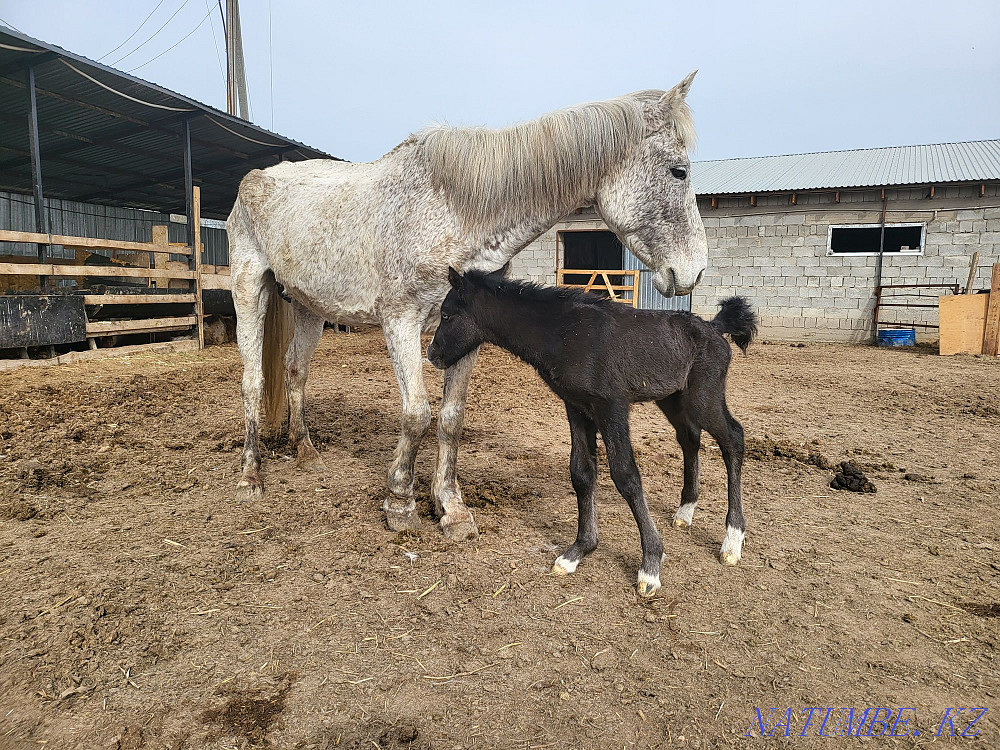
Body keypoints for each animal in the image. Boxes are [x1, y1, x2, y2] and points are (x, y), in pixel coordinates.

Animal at [227, 72, 708, 542]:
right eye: (679, 171)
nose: (695, 272)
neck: (452, 210)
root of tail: (253, 179)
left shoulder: (465, 333)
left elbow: (450, 419)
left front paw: (451, 508)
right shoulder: (400, 322)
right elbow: (417, 415)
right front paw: (400, 503)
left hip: (308, 306)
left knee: (295, 370)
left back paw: (305, 450)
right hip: (249, 287)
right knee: (252, 380)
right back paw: (251, 476)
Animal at [427, 268, 757, 596]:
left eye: (446, 314)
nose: (432, 353)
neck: (565, 333)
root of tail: (713, 327)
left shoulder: (612, 408)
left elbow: (626, 477)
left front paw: (651, 564)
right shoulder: (577, 407)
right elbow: (582, 473)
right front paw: (579, 550)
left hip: (704, 398)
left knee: (733, 438)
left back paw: (732, 540)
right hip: (672, 398)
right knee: (690, 438)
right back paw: (685, 512)